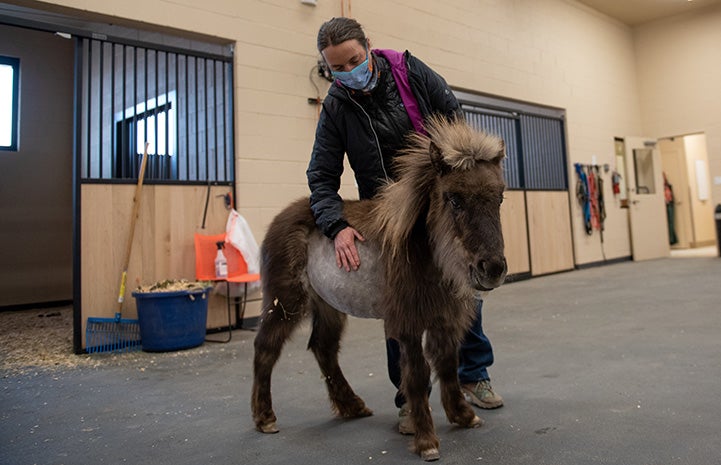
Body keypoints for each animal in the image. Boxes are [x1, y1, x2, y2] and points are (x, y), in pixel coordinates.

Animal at [252, 117, 506, 460]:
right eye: (454, 198)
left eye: (499, 198)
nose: (492, 269)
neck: (421, 252)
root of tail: (279, 220)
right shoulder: (408, 323)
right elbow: (417, 376)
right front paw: (427, 441)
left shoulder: (443, 318)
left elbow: (447, 365)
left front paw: (463, 415)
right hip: (286, 301)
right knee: (266, 348)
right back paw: (265, 418)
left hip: (328, 305)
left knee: (323, 348)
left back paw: (351, 406)